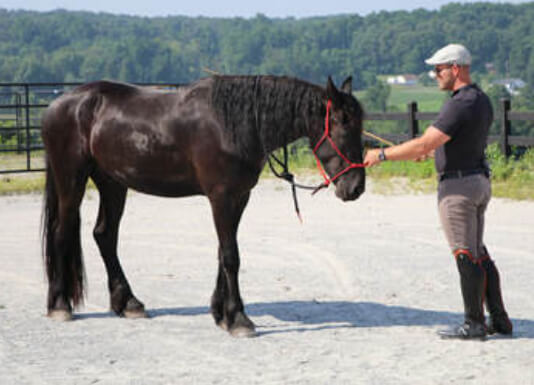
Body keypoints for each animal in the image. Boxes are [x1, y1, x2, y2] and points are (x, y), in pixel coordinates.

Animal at [40, 75, 368, 336]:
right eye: (343, 126)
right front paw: (238, 319)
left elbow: (223, 253)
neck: (236, 124)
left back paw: (128, 303)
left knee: (104, 236)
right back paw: (60, 305)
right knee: (62, 232)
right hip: (72, 179)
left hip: (112, 183)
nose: (356, 188)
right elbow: (231, 256)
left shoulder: (239, 197)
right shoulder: (221, 196)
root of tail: (60, 105)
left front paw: (220, 313)